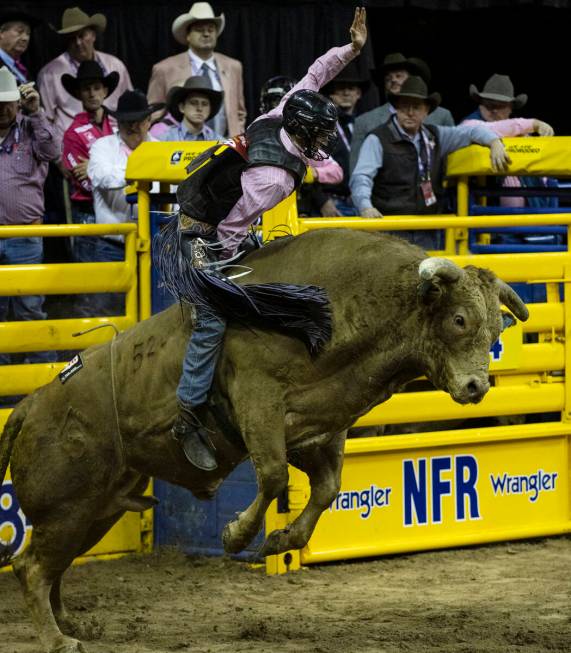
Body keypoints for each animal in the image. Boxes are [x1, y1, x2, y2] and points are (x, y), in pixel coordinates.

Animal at [0, 229, 528, 652]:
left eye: (495, 329)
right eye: (459, 320)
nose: (476, 387)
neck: (346, 306)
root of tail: (30, 405)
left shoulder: (317, 430)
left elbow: (326, 489)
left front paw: (282, 539)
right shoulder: (258, 400)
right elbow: (273, 477)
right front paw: (237, 535)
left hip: (95, 510)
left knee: (54, 566)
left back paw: (70, 623)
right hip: (66, 506)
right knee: (31, 567)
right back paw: (57, 639)